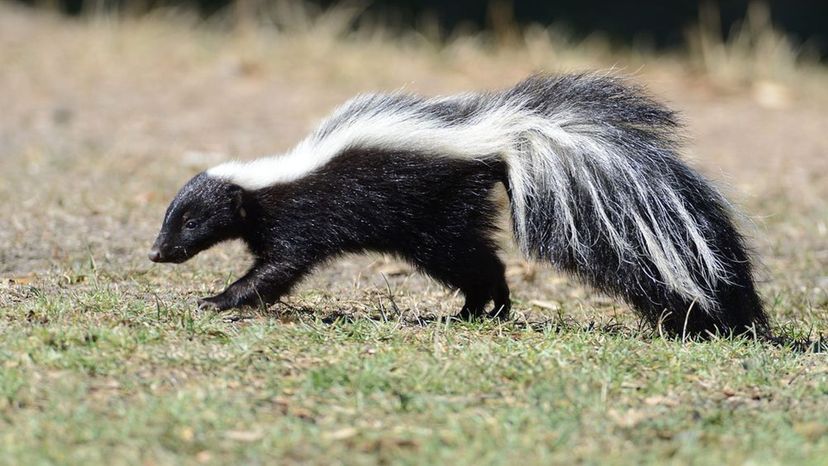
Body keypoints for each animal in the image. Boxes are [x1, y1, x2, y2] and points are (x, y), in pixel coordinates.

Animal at [147, 74, 768, 338]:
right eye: (171, 217)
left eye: (190, 220)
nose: (157, 252)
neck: (272, 179)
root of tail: (496, 136)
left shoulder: (301, 217)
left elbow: (278, 268)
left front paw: (217, 299)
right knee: (479, 259)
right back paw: (478, 310)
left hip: (432, 217)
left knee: (476, 261)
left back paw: (488, 307)